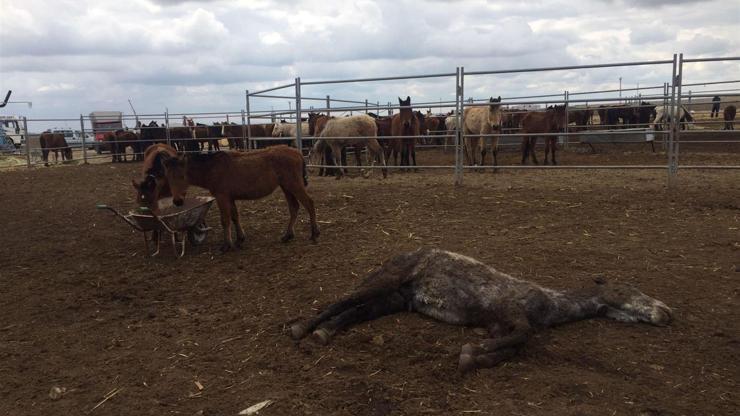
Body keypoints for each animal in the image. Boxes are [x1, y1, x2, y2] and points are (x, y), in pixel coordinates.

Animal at [162, 145, 318, 250]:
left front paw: (227, 245)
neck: (212, 168)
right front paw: (239, 239)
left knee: (309, 204)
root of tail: (297, 153)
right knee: (294, 207)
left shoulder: (222, 197)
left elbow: (225, 220)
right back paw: (288, 235)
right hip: (286, 188)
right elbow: (235, 217)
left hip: (294, 186)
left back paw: (314, 233)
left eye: (182, 176)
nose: (177, 201)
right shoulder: (230, 198)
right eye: (168, 176)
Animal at [290, 249, 672, 372]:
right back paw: (301, 329)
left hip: (395, 300)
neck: (549, 302)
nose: (667, 312)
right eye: (629, 290)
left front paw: (478, 356)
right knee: (341, 302)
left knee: (353, 313)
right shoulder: (511, 314)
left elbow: (516, 346)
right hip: (385, 283)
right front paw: (471, 352)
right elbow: (524, 336)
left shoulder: (500, 325)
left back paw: (323, 333)